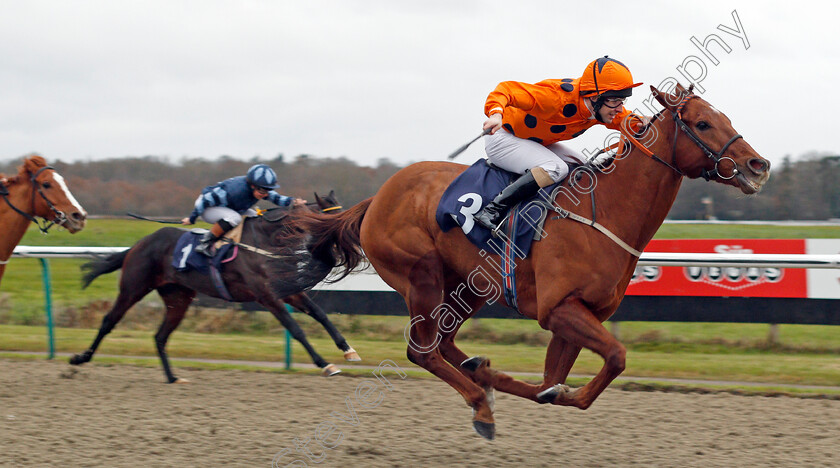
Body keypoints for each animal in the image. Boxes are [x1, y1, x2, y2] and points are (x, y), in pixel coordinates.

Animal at [70, 192, 360, 382]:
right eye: (337, 218)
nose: (354, 240)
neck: (266, 241)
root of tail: (139, 244)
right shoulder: (266, 295)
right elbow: (296, 329)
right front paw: (324, 364)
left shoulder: (286, 290)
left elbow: (320, 314)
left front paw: (349, 351)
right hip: (133, 287)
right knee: (109, 321)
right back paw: (80, 358)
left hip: (178, 298)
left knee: (160, 336)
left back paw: (173, 377)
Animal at [288, 85, 768, 438]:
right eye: (703, 123)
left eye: (725, 117)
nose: (757, 165)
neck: (605, 212)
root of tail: (377, 197)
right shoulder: (558, 309)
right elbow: (614, 357)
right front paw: (526, 390)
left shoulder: (580, 315)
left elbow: (551, 382)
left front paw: (510, 380)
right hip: (421, 276)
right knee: (421, 349)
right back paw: (479, 405)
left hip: (469, 286)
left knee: (443, 344)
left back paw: (478, 375)